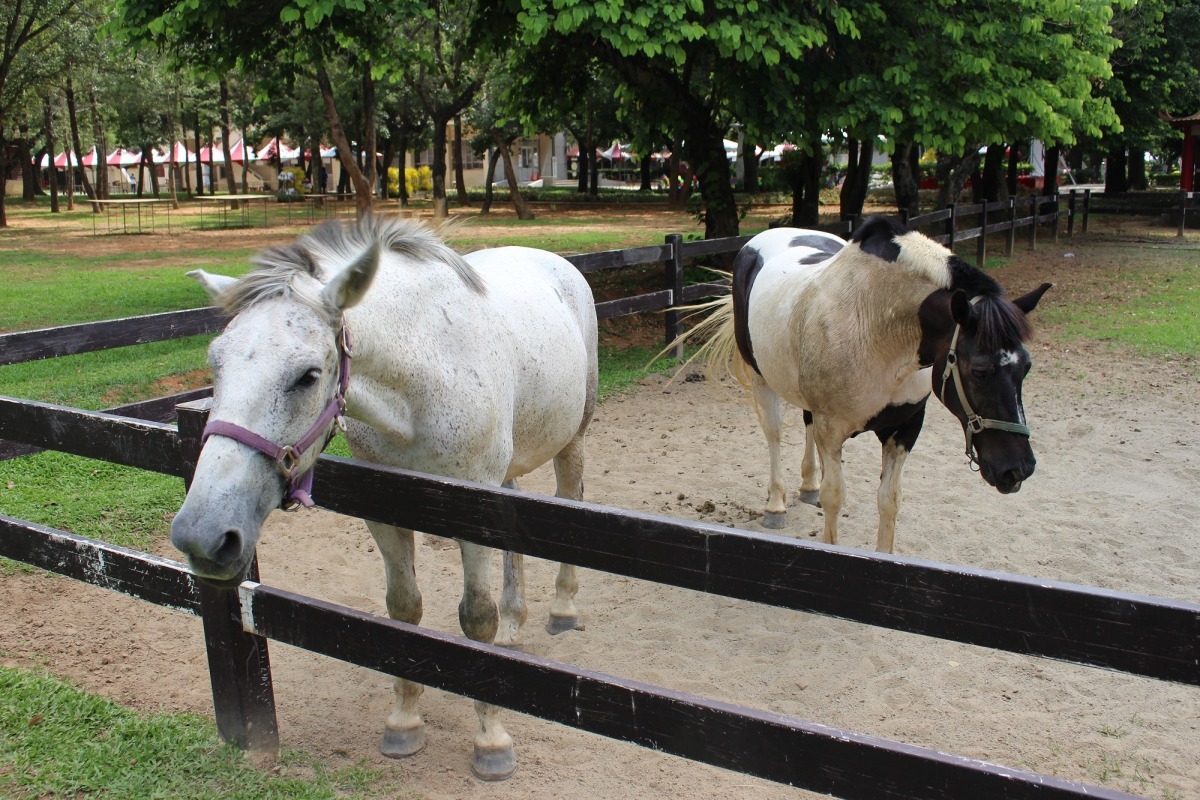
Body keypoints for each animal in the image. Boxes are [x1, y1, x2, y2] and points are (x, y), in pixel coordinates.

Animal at [170, 215, 598, 780]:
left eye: (308, 375)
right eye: (215, 363)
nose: (202, 535)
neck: (424, 378)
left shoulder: (472, 511)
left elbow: (475, 618)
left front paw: (491, 740)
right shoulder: (386, 511)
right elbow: (403, 609)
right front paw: (404, 722)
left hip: (572, 438)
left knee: (571, 498)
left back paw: (563, 609)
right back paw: (514, 626)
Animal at [684, 215, 1051, 553]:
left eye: (1026, 367)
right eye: (979, 370)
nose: (1018, 469)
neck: (878, 324)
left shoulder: (904, 427)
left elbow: (890, 499)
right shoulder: (832, 429)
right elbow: (834, 497)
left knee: (806, 423)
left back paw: (808, 486)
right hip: (762, 377)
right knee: (774, 434)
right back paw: (776, 506)